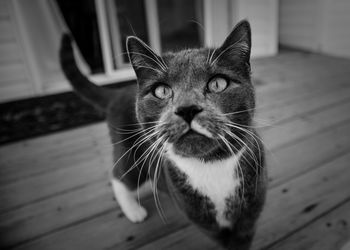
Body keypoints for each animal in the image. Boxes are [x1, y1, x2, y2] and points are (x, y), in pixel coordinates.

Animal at [60, 20, 266, 250]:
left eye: (218, 83)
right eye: (161, 91)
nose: (187, 109)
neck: (211, 164)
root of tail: (119, 92)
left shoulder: (250, 209)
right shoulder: (202, 219)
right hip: (129, 152)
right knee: (120, 177)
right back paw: (134, 211)